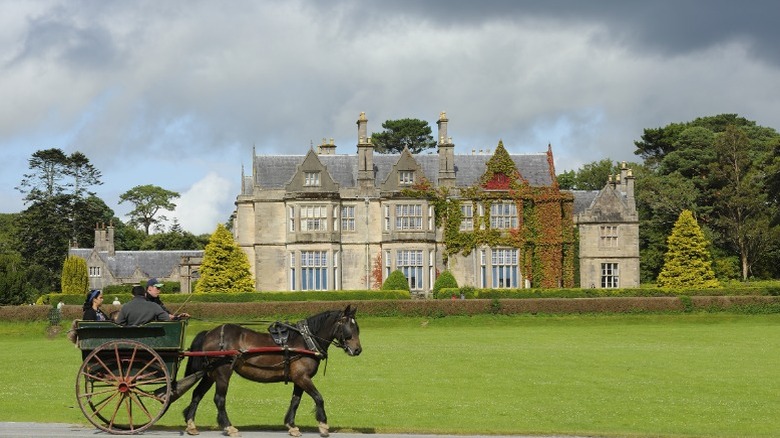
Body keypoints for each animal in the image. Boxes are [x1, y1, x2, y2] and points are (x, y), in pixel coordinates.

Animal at [181, 306, 362, 438]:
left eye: (357, 327)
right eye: (349, 327)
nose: (357, 350)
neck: (305, 340)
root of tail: (209, 333)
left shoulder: (299, 379)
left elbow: (295, 401)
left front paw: (291, 425)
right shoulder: (302, 377)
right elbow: (318, 398)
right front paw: (323, 425)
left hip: (210, 374)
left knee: (197, 394)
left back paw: (191, 425)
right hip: (222, 373)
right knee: (219, 399)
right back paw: (229, 427)